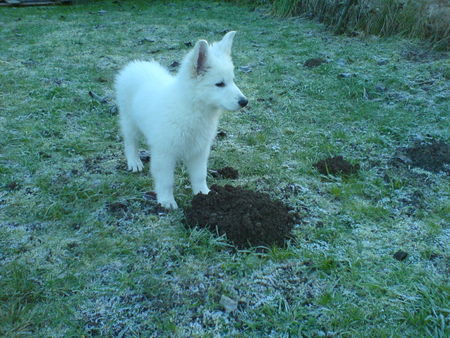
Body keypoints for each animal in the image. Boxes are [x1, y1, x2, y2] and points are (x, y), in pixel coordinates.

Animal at [113, 31, 246, 209]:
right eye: (219, 84)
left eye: (232, 80)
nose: (245, 102)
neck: (192, 108)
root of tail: (135, 65)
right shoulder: (164, 153)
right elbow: (166, 181)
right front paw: (166, 201)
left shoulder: (199, 150)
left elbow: (199, 176)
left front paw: (204, 195)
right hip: (129, 121)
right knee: (130, 142)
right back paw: (134, 162)